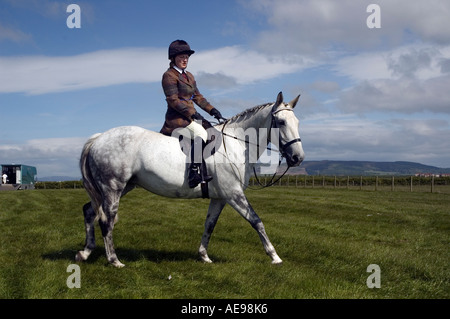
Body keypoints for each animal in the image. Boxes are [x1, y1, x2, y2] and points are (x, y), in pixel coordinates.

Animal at [75, 92, 304, 268]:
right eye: (281, 122)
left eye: (297, 122)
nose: (297, 158)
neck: (236, 144)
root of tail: (99, 137)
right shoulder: (234, 194)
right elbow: (257, 221)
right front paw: (274, 256)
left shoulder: (220, 197)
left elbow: (209, 224)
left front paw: (204, 256)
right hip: (113, 188)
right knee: (106, 220)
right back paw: (114, 260)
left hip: (120, 187)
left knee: (89, 211)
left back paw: (85, 253)